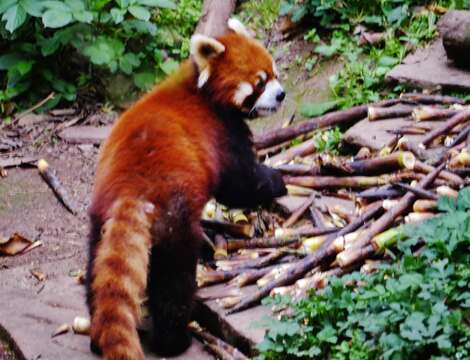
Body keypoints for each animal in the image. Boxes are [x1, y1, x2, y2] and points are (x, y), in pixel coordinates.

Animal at [86, 18, 288, 358]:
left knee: (94, 267)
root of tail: (129, 189)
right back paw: (174, 341)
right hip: (171, 218)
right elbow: (240, 184)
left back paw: (96, 336)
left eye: (274, 71)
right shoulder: (220, 134)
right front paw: (277, 182)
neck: (201, 90)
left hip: (100, 216)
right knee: (174, 280)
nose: (282, 95)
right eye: (259, 83)